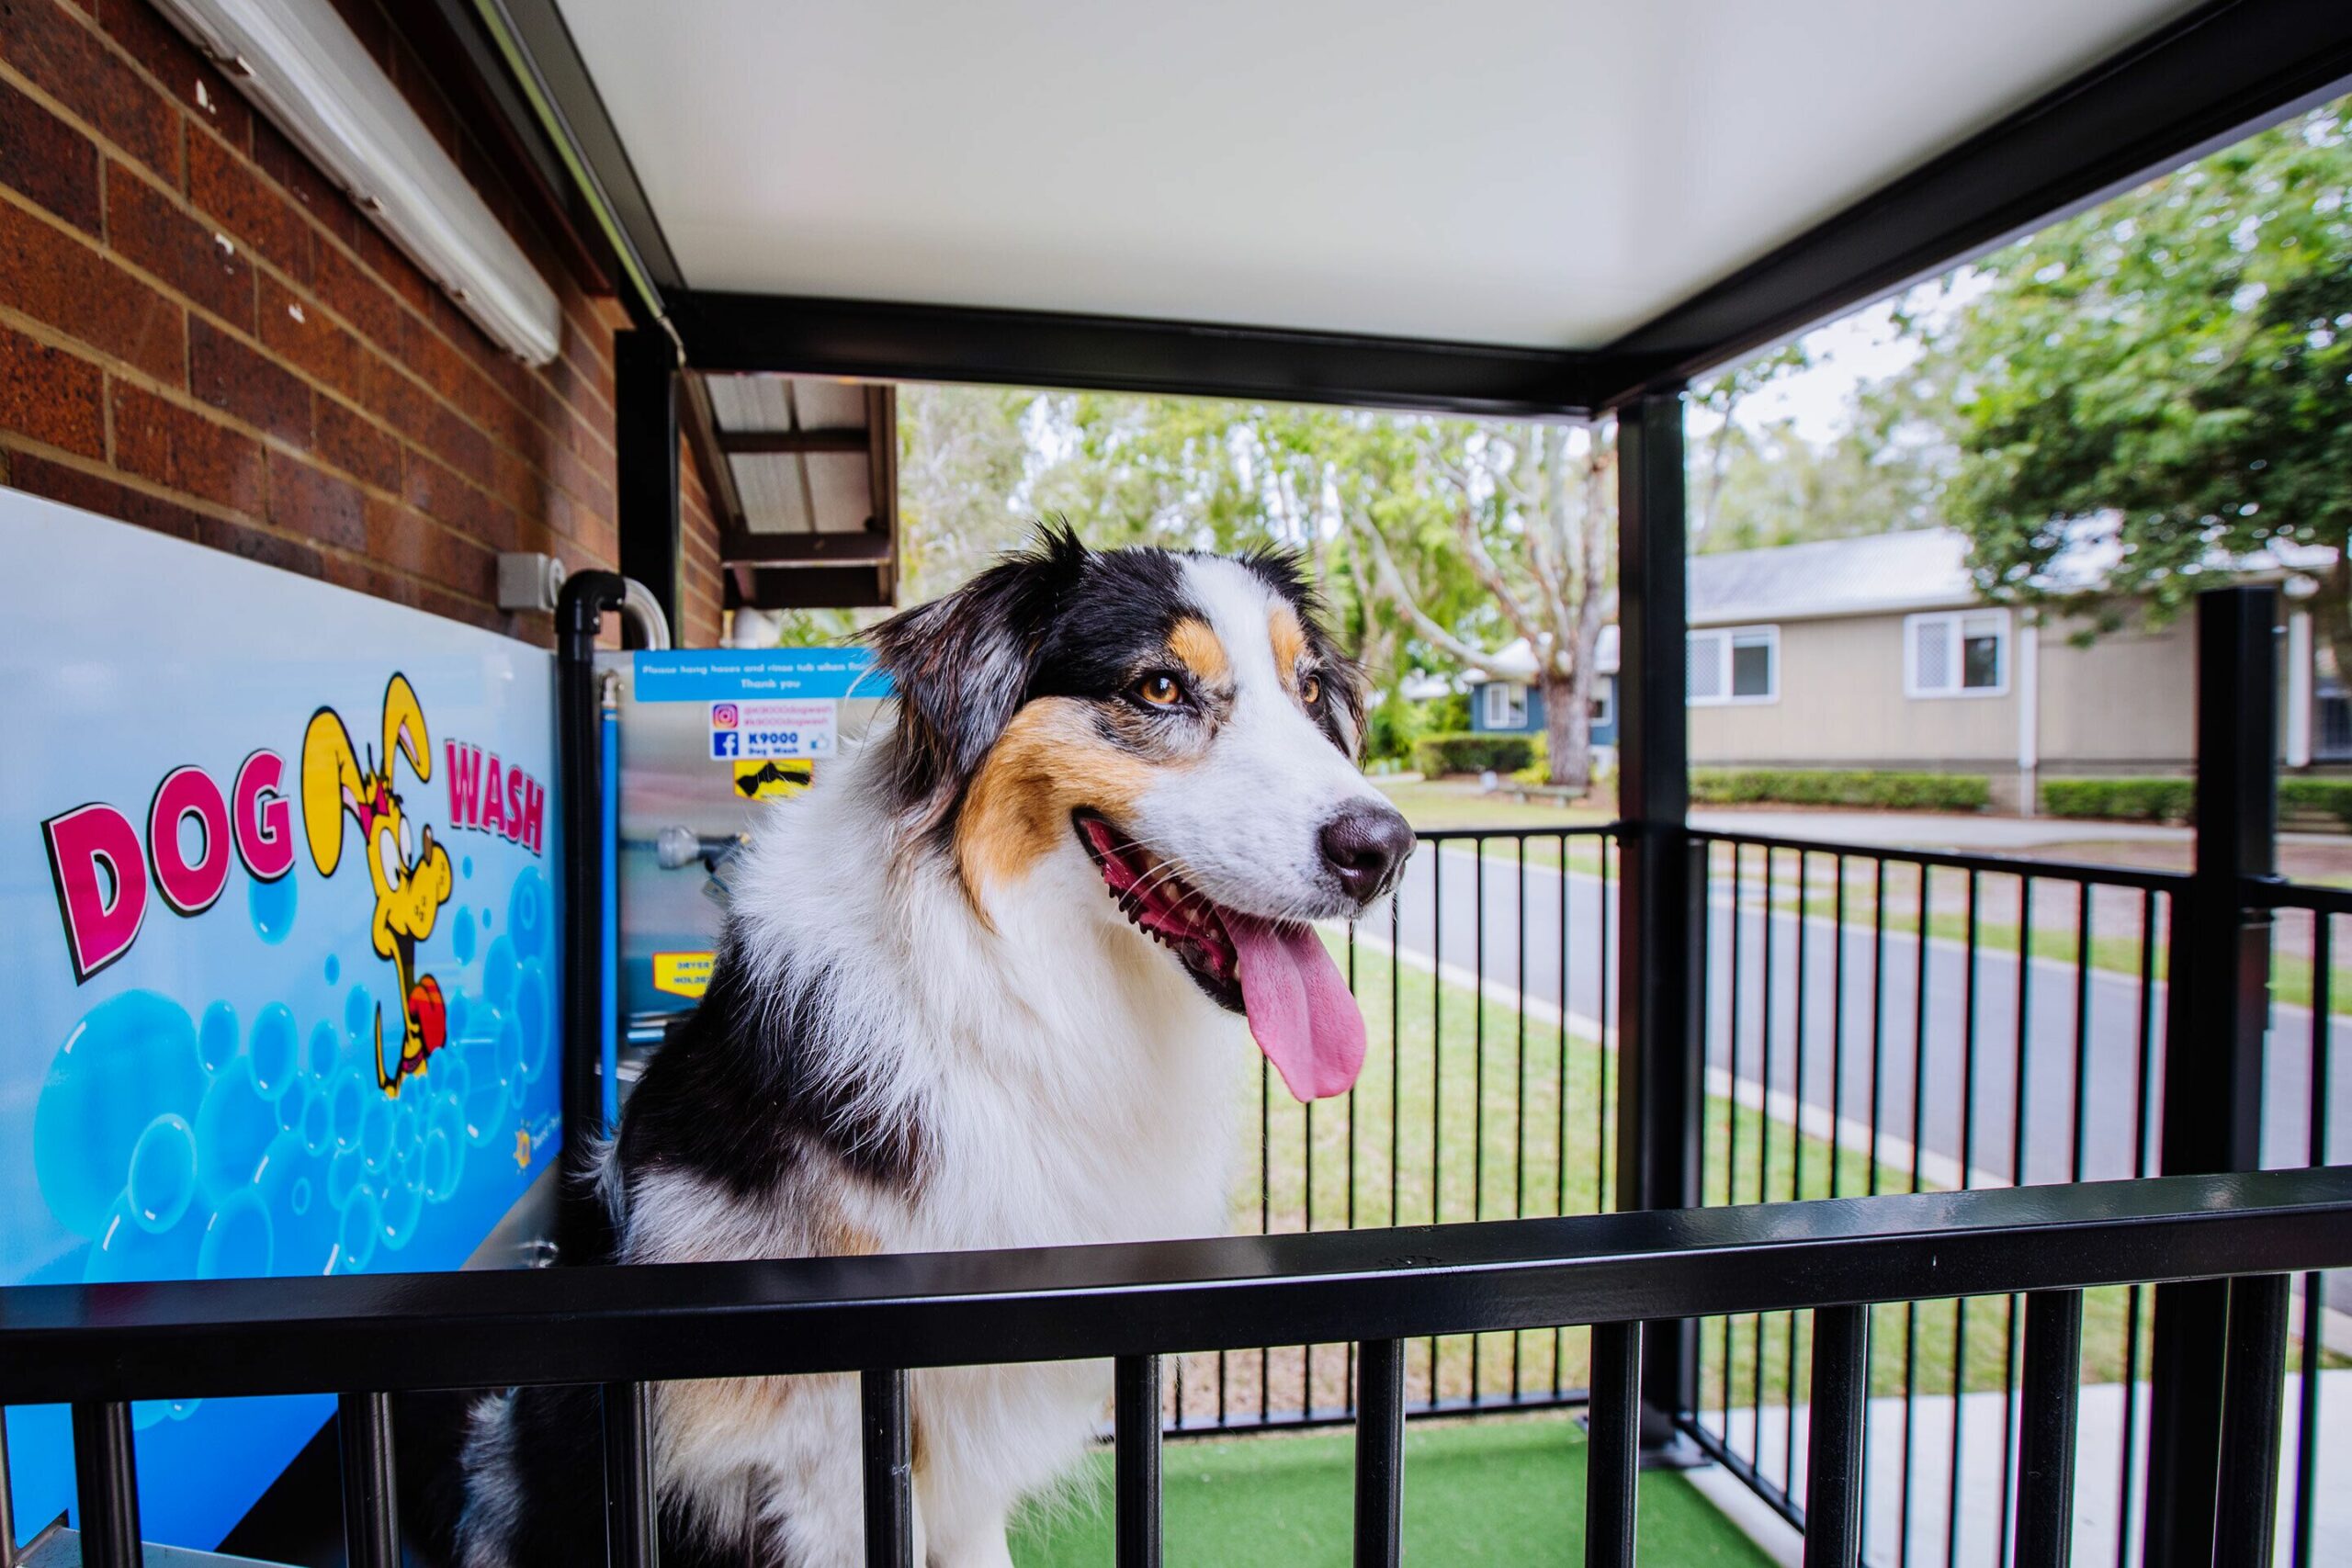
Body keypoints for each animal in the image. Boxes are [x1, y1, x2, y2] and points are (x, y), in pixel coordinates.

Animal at [427, 526, 1411, 1568]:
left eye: (1310, 689)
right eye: (1157, 687)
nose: (1386, 849)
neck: (1013, 982)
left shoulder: (971, 1447)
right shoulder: (823, 1456)